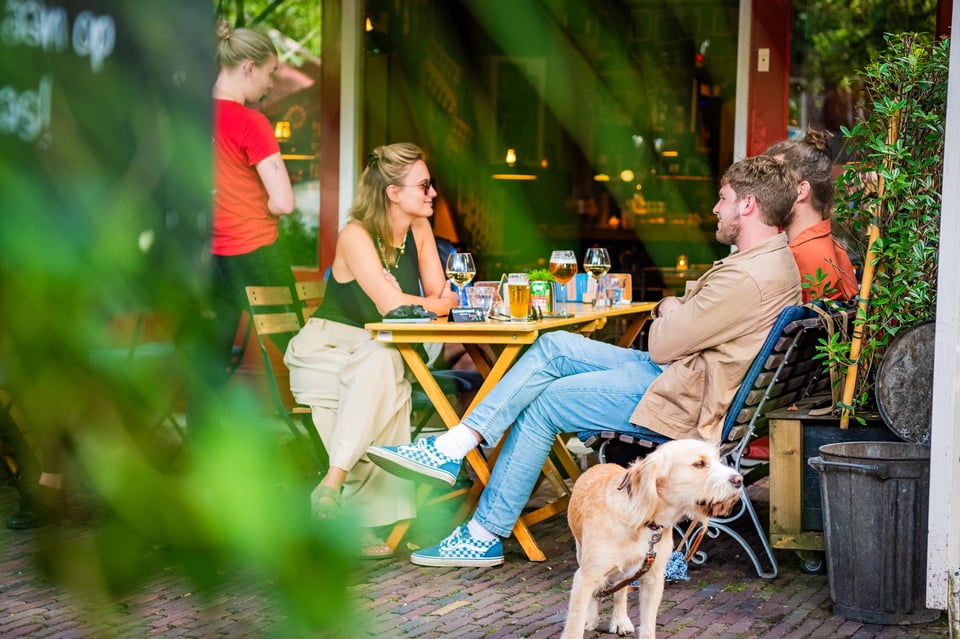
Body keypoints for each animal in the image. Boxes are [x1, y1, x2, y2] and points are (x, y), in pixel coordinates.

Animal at [561, 438, 743, 639]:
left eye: (718, 459)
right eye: (699, 464)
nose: (739, 480)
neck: (644, 522)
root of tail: (599, 465)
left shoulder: (653, 579)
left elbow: (648, 622)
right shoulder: (586, 577)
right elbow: (574, 626)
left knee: (620, 591)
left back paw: (620, 620)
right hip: (582, 554)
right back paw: (592, 618)